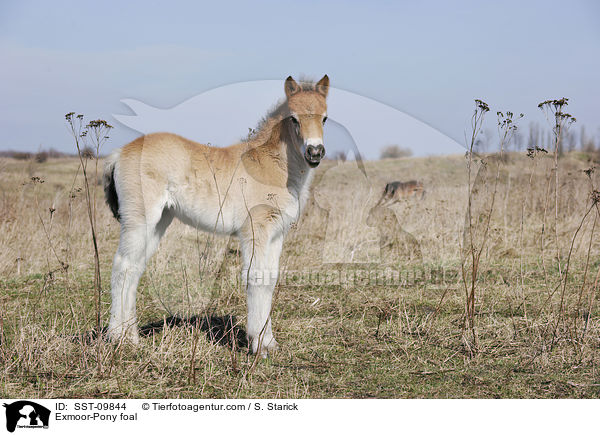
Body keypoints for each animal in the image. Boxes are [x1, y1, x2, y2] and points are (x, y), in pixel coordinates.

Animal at [102, 75, 328, 356]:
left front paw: (270, 343)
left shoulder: (276, 234)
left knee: (134, 267)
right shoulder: (255, 229)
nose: (315, 152)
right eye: (294, 119)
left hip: (158, 222)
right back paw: (119, 338)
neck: (269, 165)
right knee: (122, 266)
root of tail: (119, 153)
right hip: (139, 219)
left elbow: (270, 279)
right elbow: (256, 277)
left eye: (325, 118)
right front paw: (257, 346)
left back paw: (130, 335)